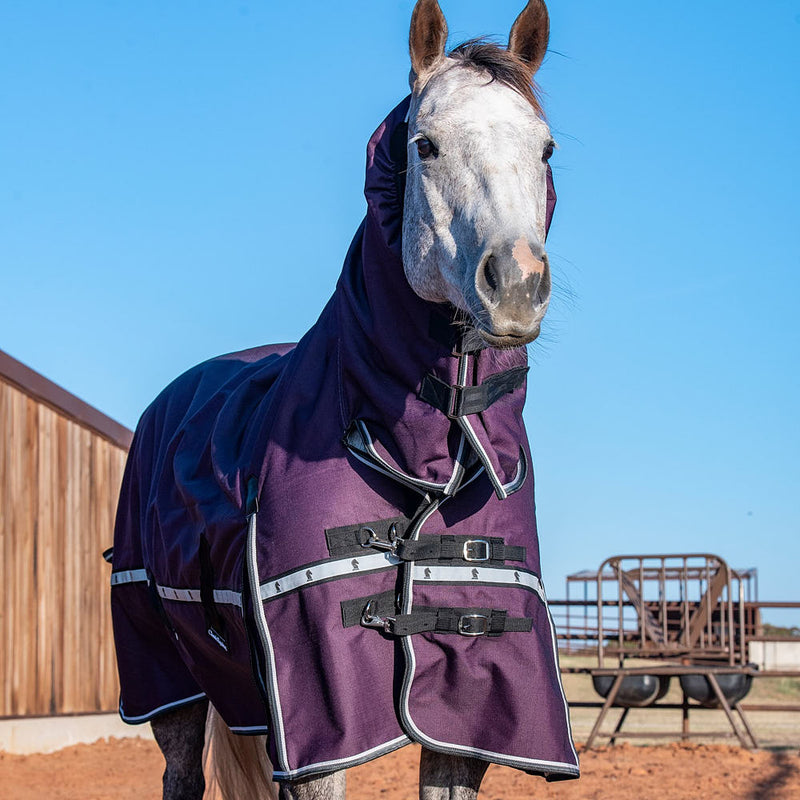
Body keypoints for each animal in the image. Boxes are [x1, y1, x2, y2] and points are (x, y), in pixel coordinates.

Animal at [109, 2, 578, 798]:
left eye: (545, 150)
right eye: (425, 144)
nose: (516, 284)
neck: (416, 455)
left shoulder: (469, 711)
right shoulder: (318, 710)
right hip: (167, 675)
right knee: (180, 772)